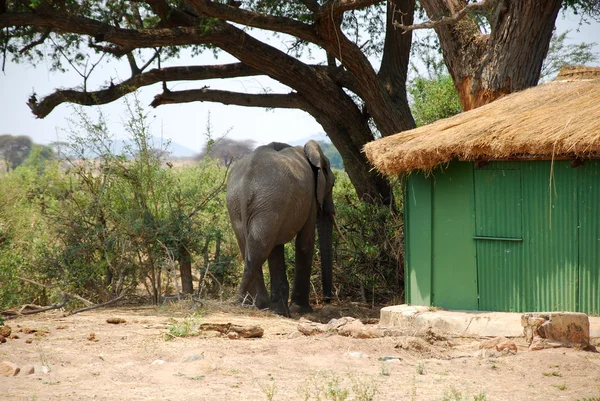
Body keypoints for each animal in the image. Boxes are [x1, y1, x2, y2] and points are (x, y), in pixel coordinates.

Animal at [226, 140, 336, 316]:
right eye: (333, 184)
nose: (327, 299)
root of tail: (245, 186)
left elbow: (276, 249)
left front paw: (281, 310)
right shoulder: (310, 198)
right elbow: (305, 244)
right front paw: (300, 310)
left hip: (242, 205)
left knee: (252, 248)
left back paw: (257, 305)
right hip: (268, 203)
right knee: (260, 250)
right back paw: (247, 303)